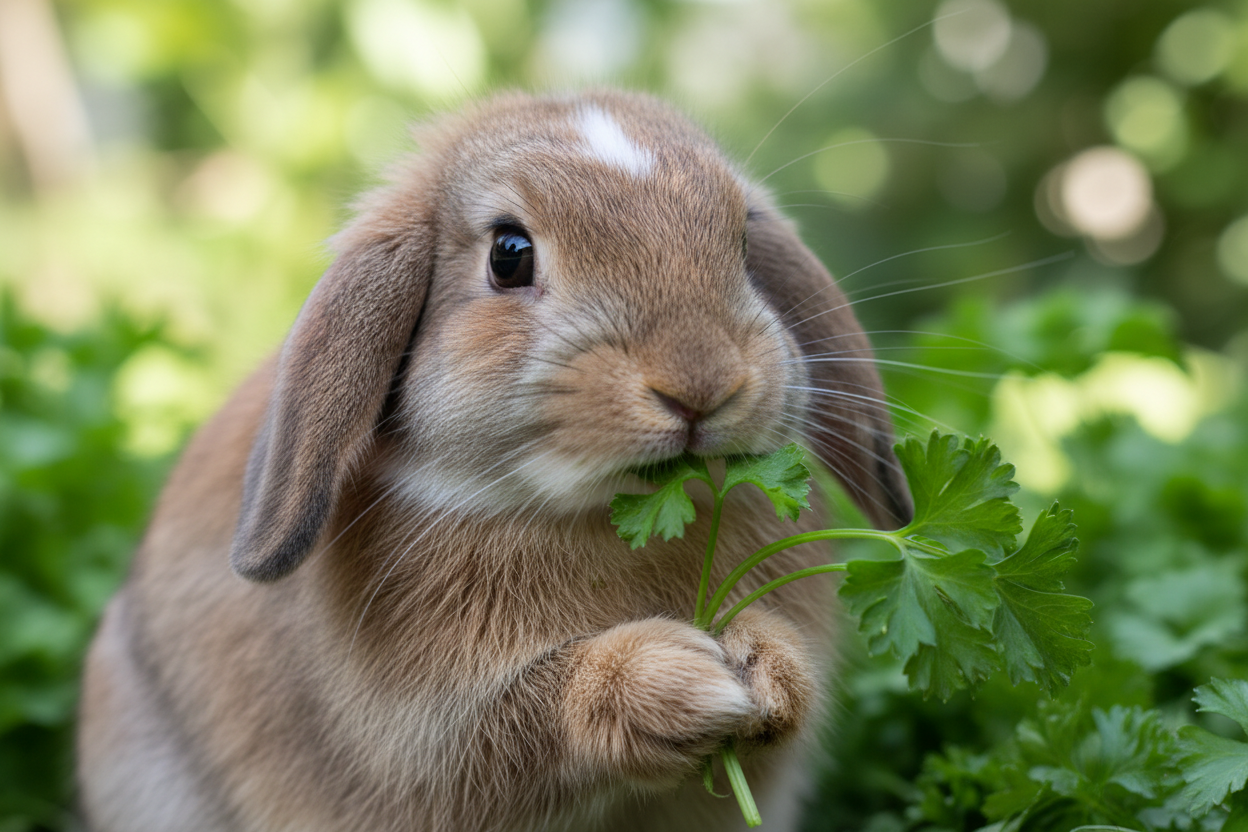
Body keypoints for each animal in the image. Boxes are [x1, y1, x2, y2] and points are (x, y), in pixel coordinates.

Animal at [76, 89, 911, 832]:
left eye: (741, 241)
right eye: (510, 255)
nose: (700, 383)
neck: (588, 514)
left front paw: (762, 670)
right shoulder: (433, 733)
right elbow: (540, 717)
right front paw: (693, 685)